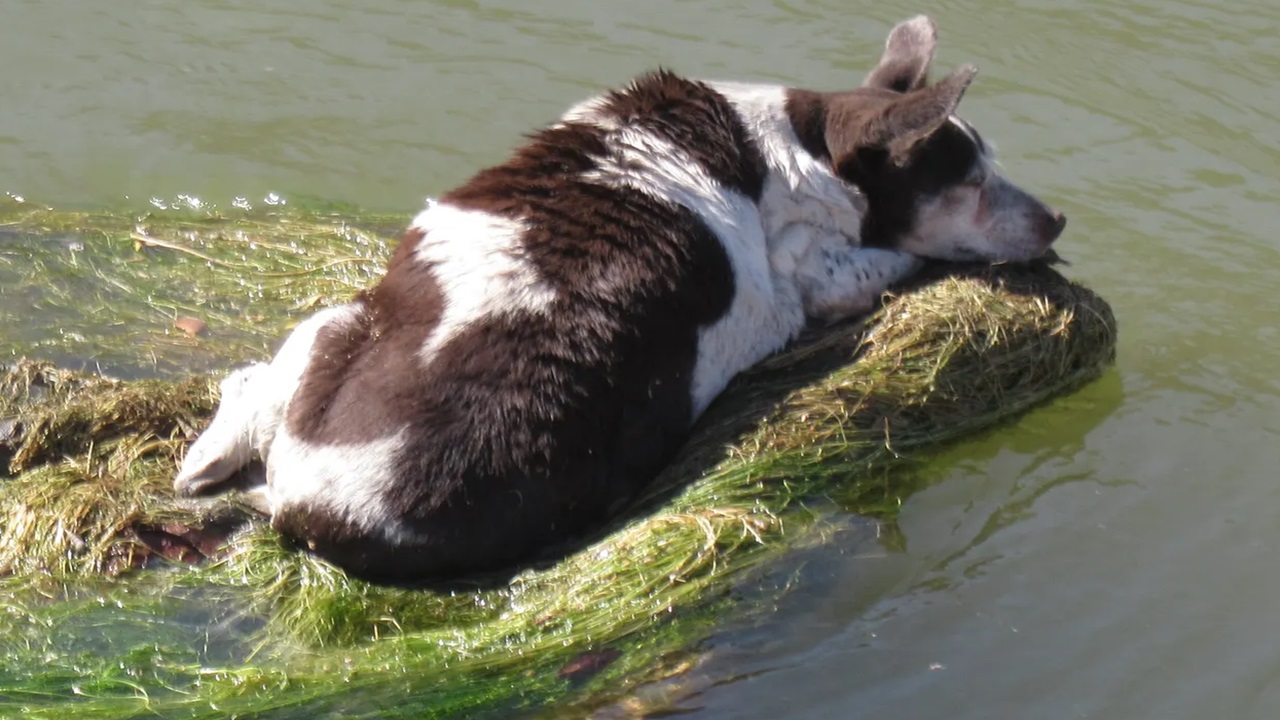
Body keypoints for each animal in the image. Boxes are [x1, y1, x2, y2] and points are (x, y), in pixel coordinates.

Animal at [175, 14, 1064, 579]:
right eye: (971, 181)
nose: (1059, 218)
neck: (798, 150)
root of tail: (309, 507)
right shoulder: (821, 273)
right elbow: (893, 259)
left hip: (339, 319)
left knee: (254, 379)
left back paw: (204, 457)